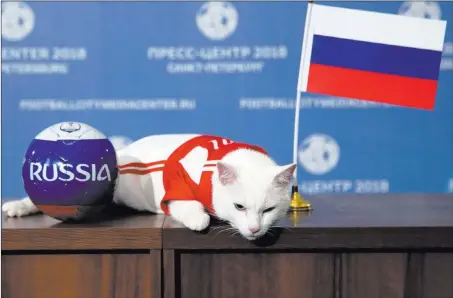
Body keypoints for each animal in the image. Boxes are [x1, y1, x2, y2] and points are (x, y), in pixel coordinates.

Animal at [1, 134, 294, 241]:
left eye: (268, 210)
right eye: (239, 207)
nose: (255, 229)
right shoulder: (176, 186)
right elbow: (190, 206)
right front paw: (200, 219)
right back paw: (16, 207)